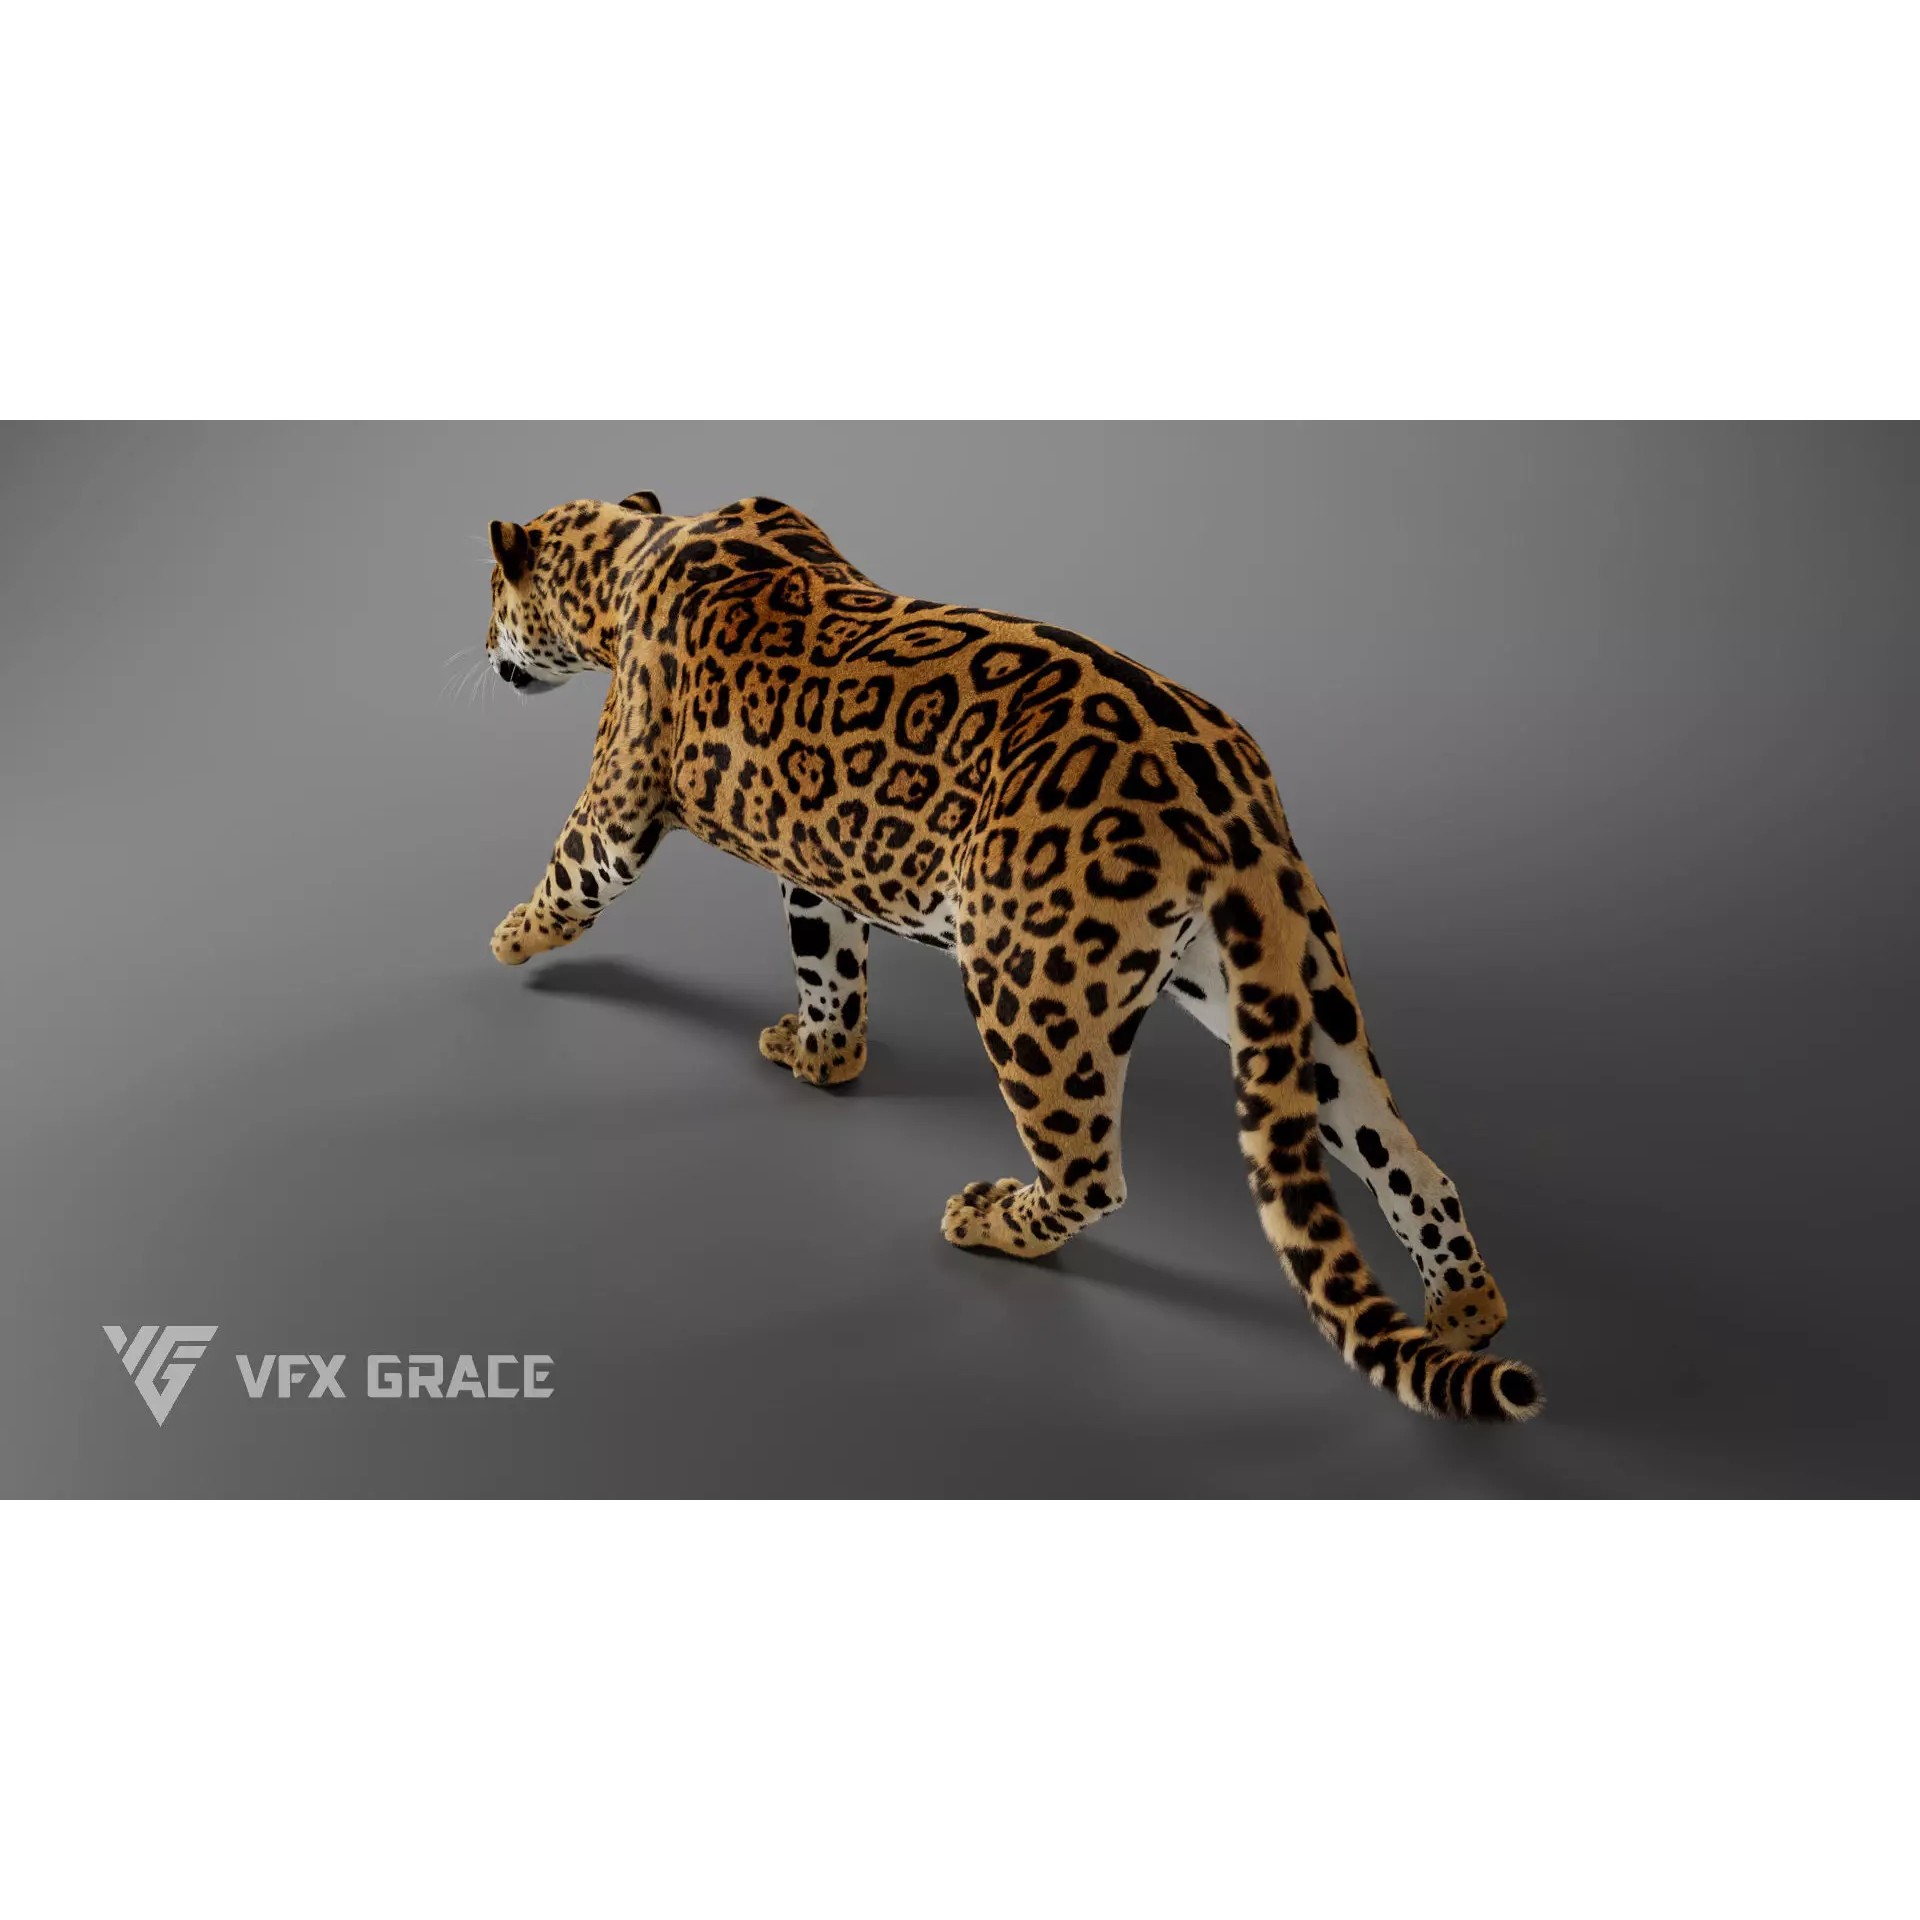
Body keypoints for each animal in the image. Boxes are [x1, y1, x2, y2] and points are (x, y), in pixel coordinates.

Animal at [479, 490, 1541, 1423]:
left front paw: (509, 937)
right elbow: (827, 959)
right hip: (1283, 992)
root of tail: (1233, 795)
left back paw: (991, 1220)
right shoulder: (818, 862)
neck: (630, 555)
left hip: (1031, 987)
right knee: (1409, 1161)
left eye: (490, 594)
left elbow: (575, 869)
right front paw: (824, 1056)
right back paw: (1464, 1310)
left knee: (1091, 1175)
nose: (486, 652)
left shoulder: (622, 799)